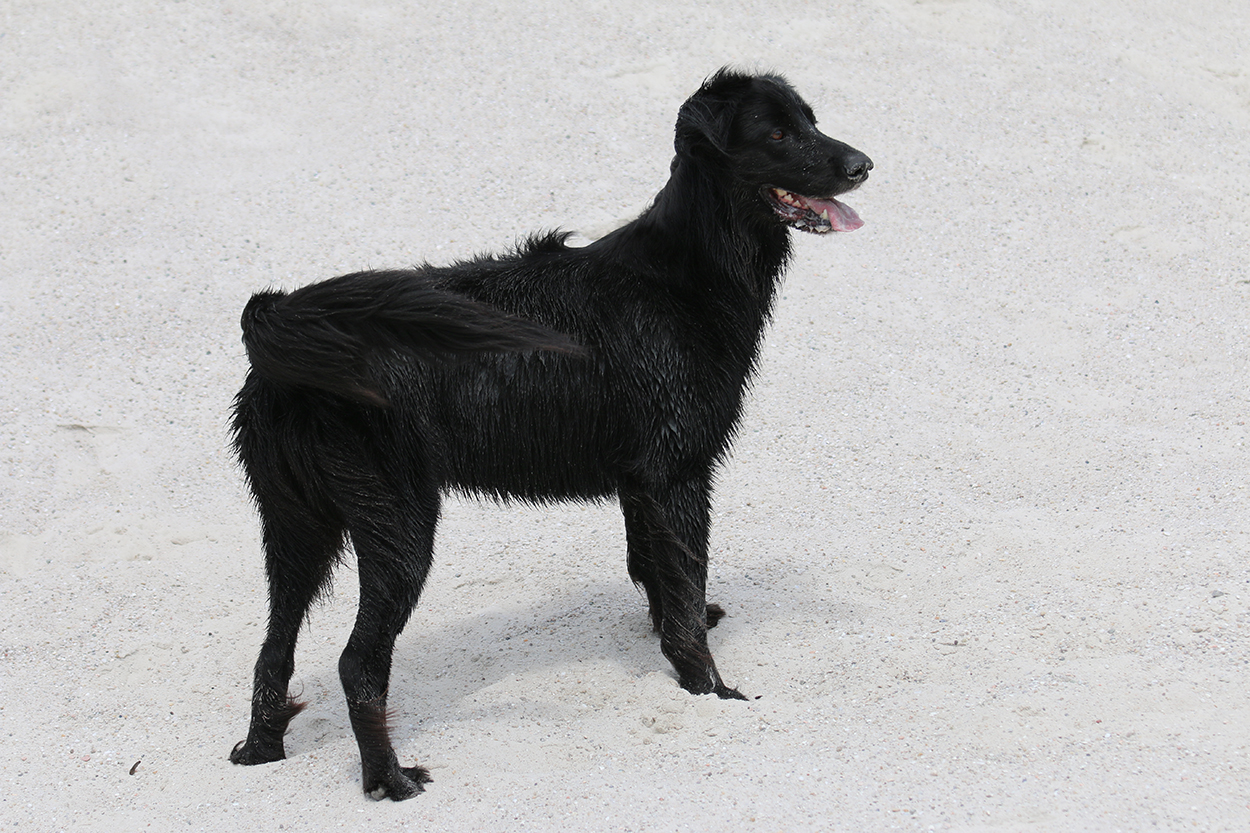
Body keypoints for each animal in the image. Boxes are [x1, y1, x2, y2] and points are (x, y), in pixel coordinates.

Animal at [228, 68, 870, 799]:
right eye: (777, 134)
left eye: (812, 120)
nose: (864, 165)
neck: (684, 273)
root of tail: (283, 332)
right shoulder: (678, 475)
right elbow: (685, 582)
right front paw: (712, 691)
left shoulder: (641, 483)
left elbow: (657, 575)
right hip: (397, 524)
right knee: (357, 662)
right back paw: (391, 780)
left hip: (294, 527)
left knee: (272, 652)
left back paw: (260, 752)